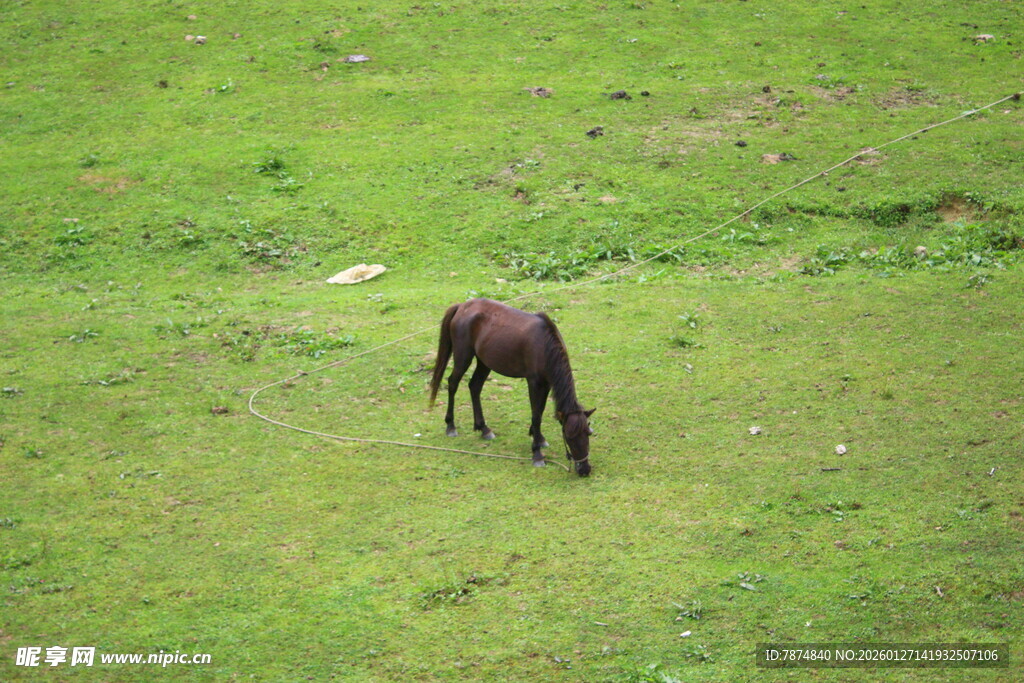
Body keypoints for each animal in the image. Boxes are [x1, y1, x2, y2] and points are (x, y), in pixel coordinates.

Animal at [428, 298, 595, 476]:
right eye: (569, 436)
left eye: (588, 433)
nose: (584, 469)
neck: (544, 344)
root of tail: (462, 307)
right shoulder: (534, 382)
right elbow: (536, 415)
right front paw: (537, 453)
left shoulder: (546, 383)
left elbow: (540, 411)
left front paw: (539, 438)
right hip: (463, 356)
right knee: (453, 383)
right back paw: (451, 426)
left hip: (484, 362)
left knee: (475, 386)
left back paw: (483, 428)